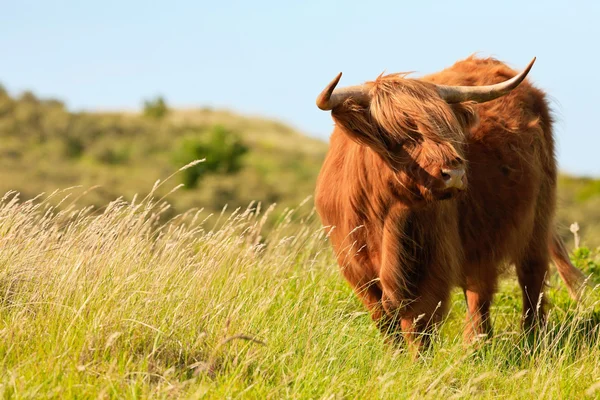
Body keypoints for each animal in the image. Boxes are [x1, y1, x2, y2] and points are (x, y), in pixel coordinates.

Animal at [314, 55, 584, 350]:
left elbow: (418, 324)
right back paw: (476, 344)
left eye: (446, 128)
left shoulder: (430, 264)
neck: (385, 217)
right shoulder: (356, 269)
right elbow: (385, 322)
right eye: (399, 134)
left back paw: (531, 339)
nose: (454, 173)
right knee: (480, 290)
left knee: (531, 279)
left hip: (537, 220)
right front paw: (394, 356)